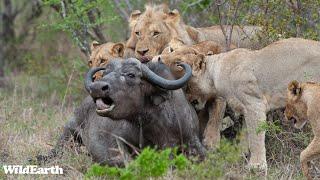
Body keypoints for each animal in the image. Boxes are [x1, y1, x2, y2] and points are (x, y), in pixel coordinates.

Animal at [154, 37, 320, 172]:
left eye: (178, 65)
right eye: (170, 49)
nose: (157, 59)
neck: (216, 73)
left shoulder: (255, 104)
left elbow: (255, 136)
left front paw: (256, 166)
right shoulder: (245, 108)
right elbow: (246, 133)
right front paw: (240, 155)